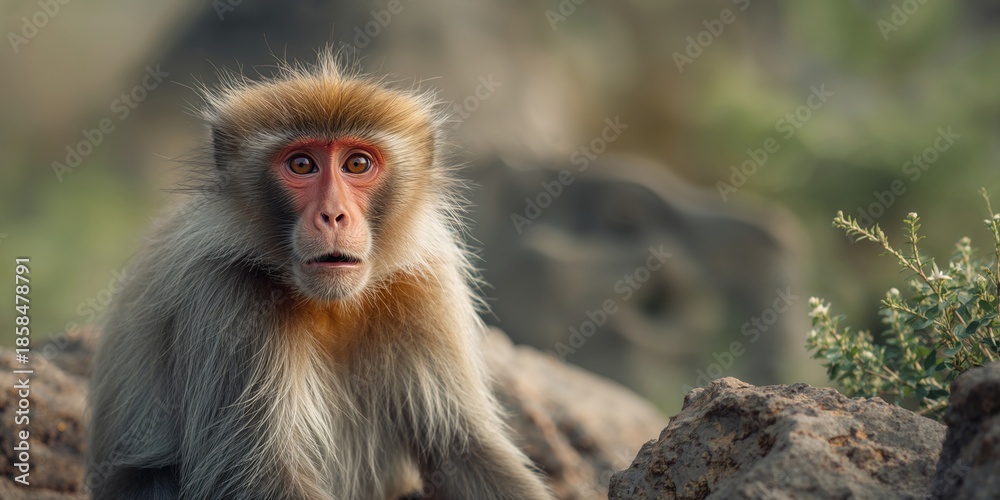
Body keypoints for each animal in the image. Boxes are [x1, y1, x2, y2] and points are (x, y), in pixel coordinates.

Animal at [86, 51, 554, 500]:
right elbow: (252, 474)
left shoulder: (424, 285)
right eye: (301, 165)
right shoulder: (225, 293)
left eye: (358, 163)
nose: (333, 215)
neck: (331, 306)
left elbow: (463, 451)